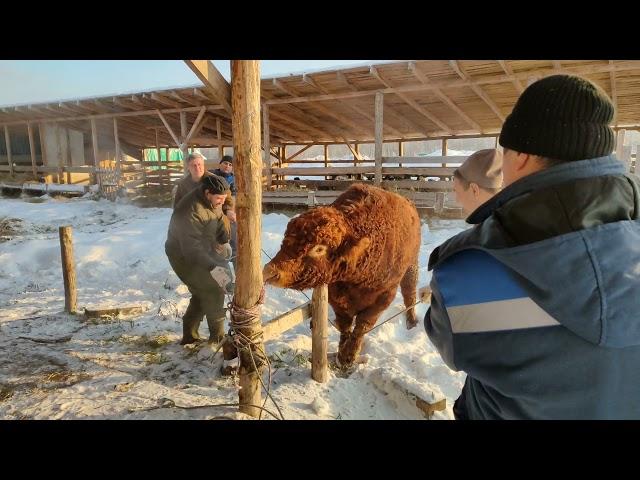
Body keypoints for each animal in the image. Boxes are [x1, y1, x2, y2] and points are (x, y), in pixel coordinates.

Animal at [262, 184, 422, 368]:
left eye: (319, 248)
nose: (269, 272)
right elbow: (345, 325)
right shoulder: (335, 296)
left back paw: (411, 320)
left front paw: (349, 356)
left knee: (410, 293)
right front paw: (341, 352)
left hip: (412, 265)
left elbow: (362, 326)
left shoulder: (383, 297)